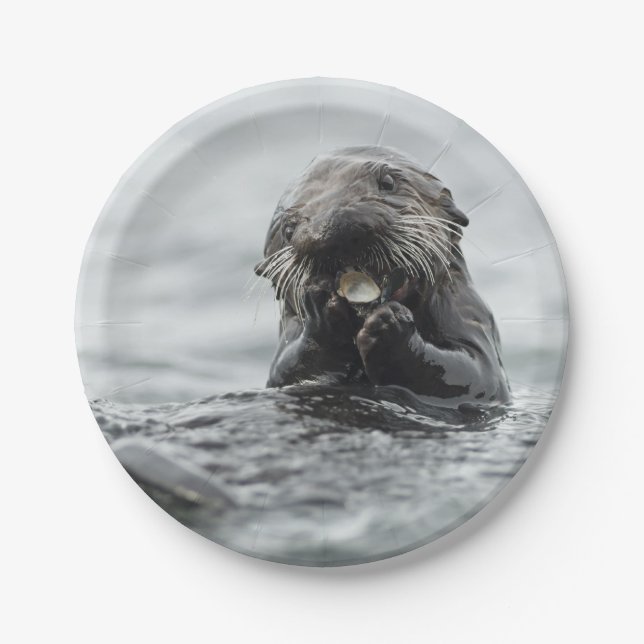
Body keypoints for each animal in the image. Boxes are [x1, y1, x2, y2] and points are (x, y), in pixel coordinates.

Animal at [254, 146, 510, 404]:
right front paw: (322, 313)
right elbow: (288, 371)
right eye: (288, 229)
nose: (333, 227)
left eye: (388, 182)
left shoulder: (469, 314)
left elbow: (476, 374)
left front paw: (390, 324)